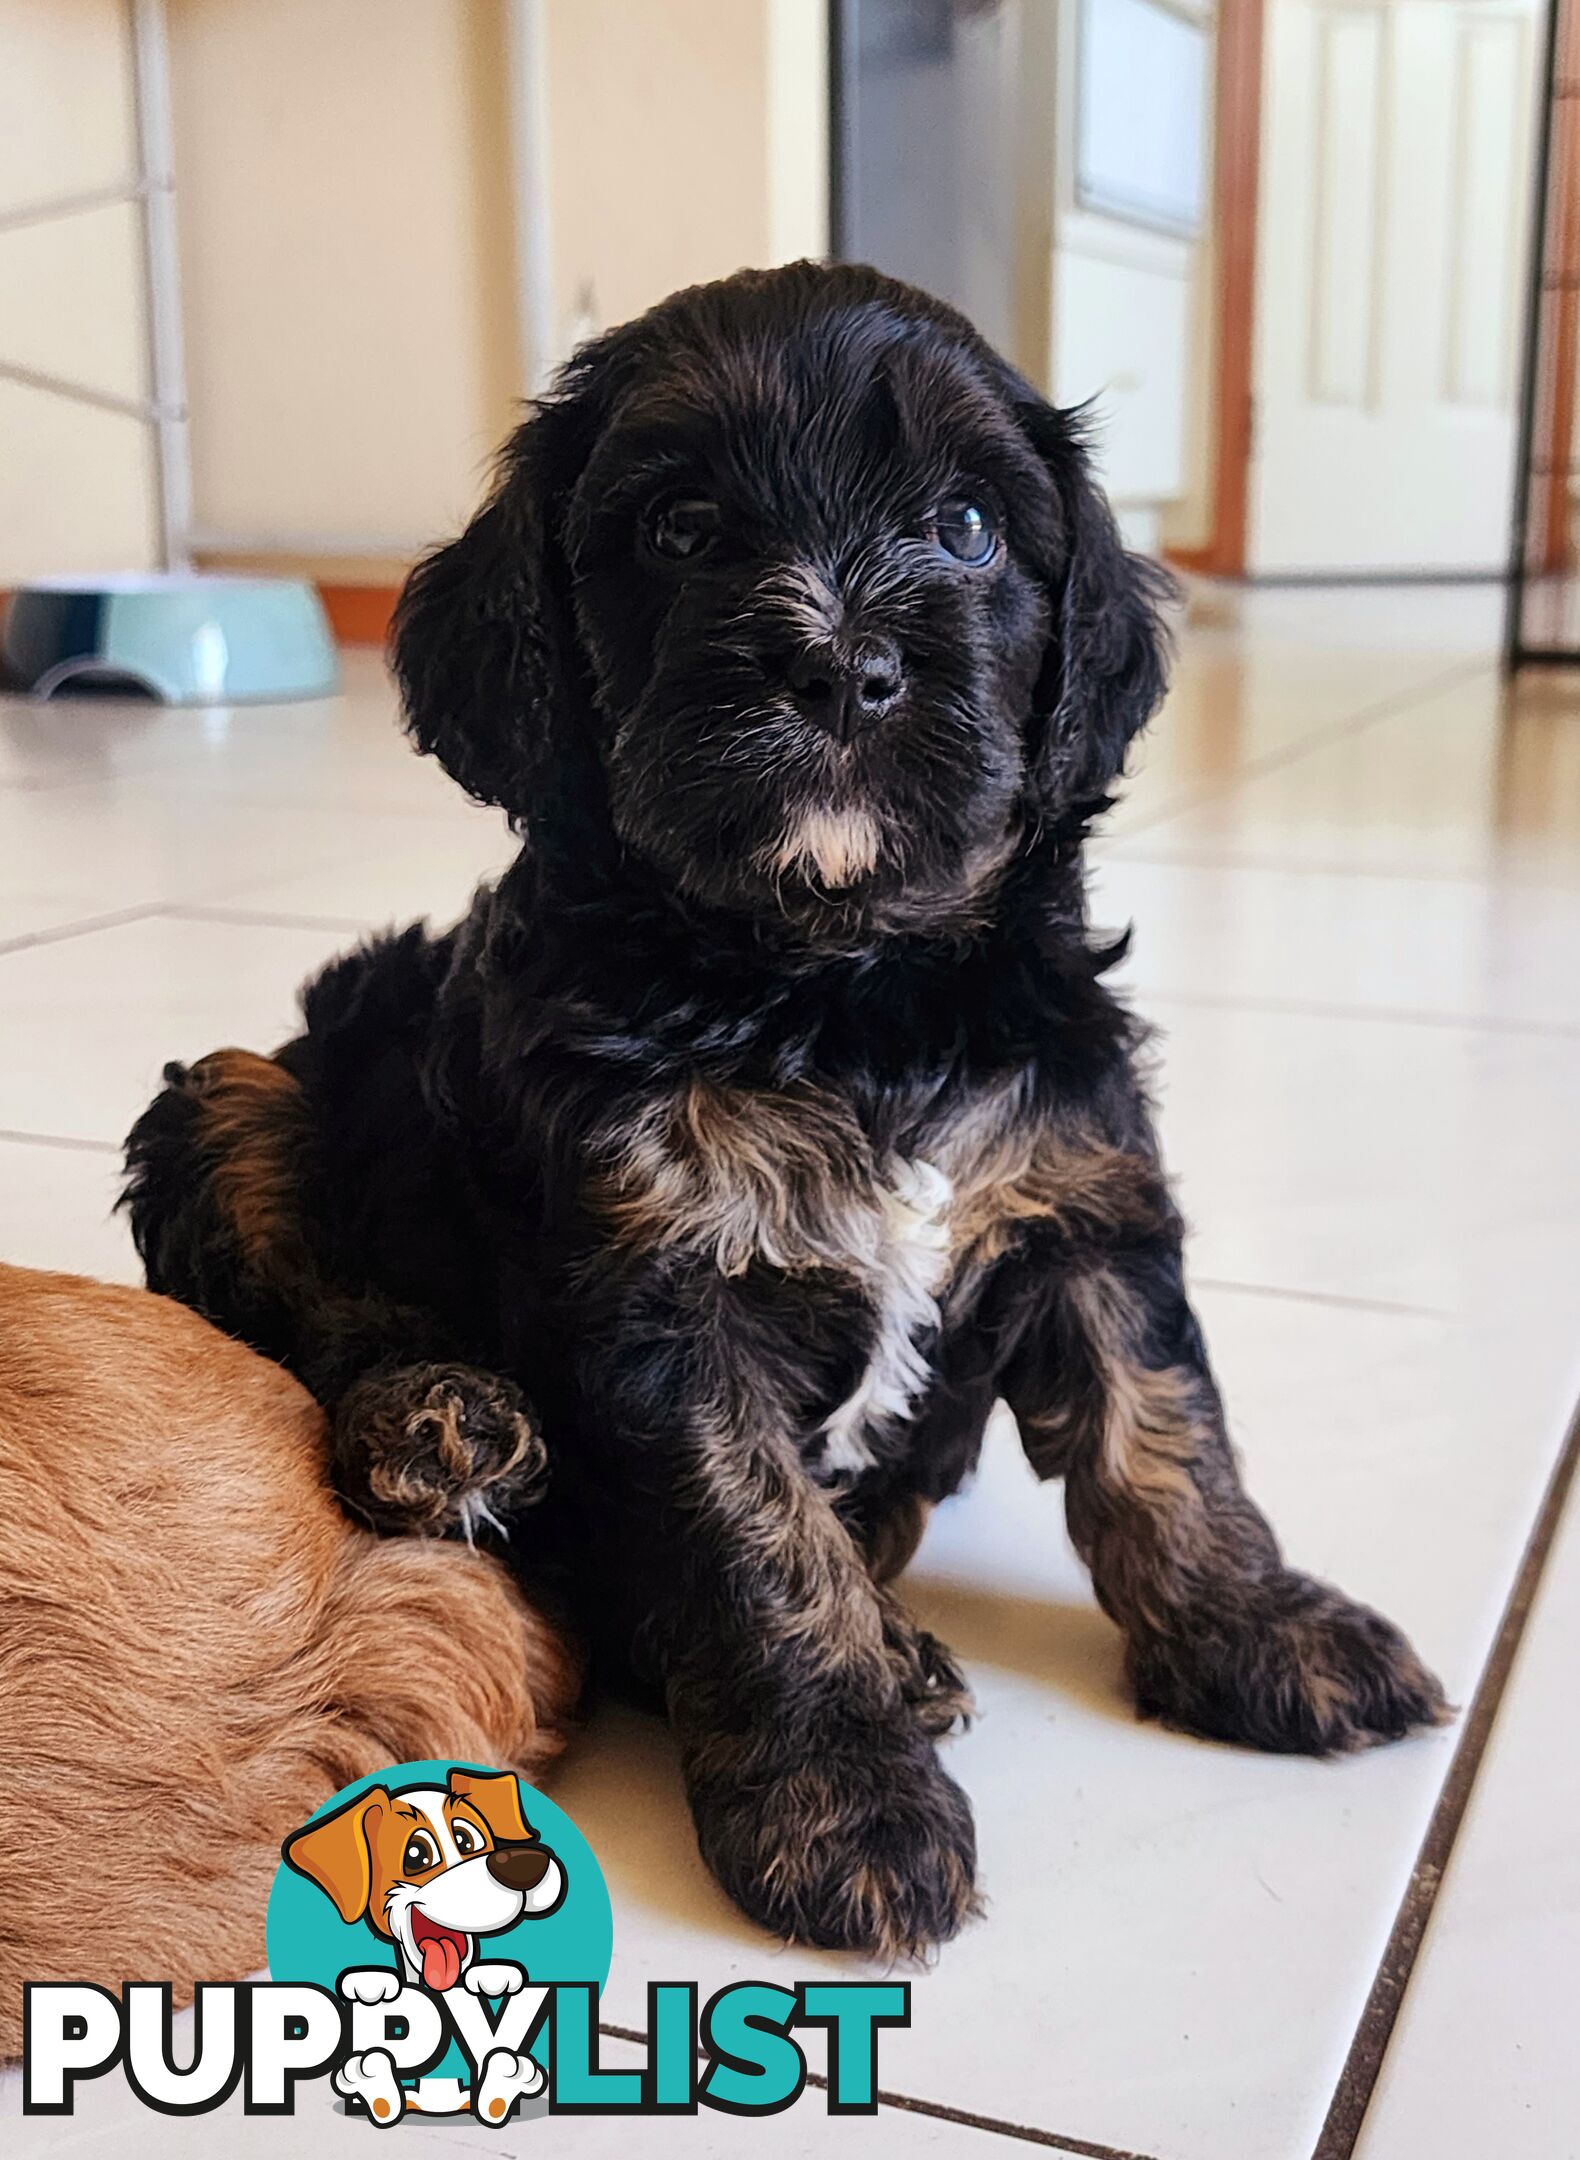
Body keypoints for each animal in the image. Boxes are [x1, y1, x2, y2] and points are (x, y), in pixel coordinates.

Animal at [129, 265, 1452, 1961]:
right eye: (683, 528)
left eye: (968, 526)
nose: (837, 669)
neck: (846, 989)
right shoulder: (667, 1295)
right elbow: (755, 1540)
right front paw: (843, 1805)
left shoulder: (1082, 1192)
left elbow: (1167, 1432)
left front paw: (1264, 1631)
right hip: (246, 1092)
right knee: (329, 1318)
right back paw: (443, 1423)